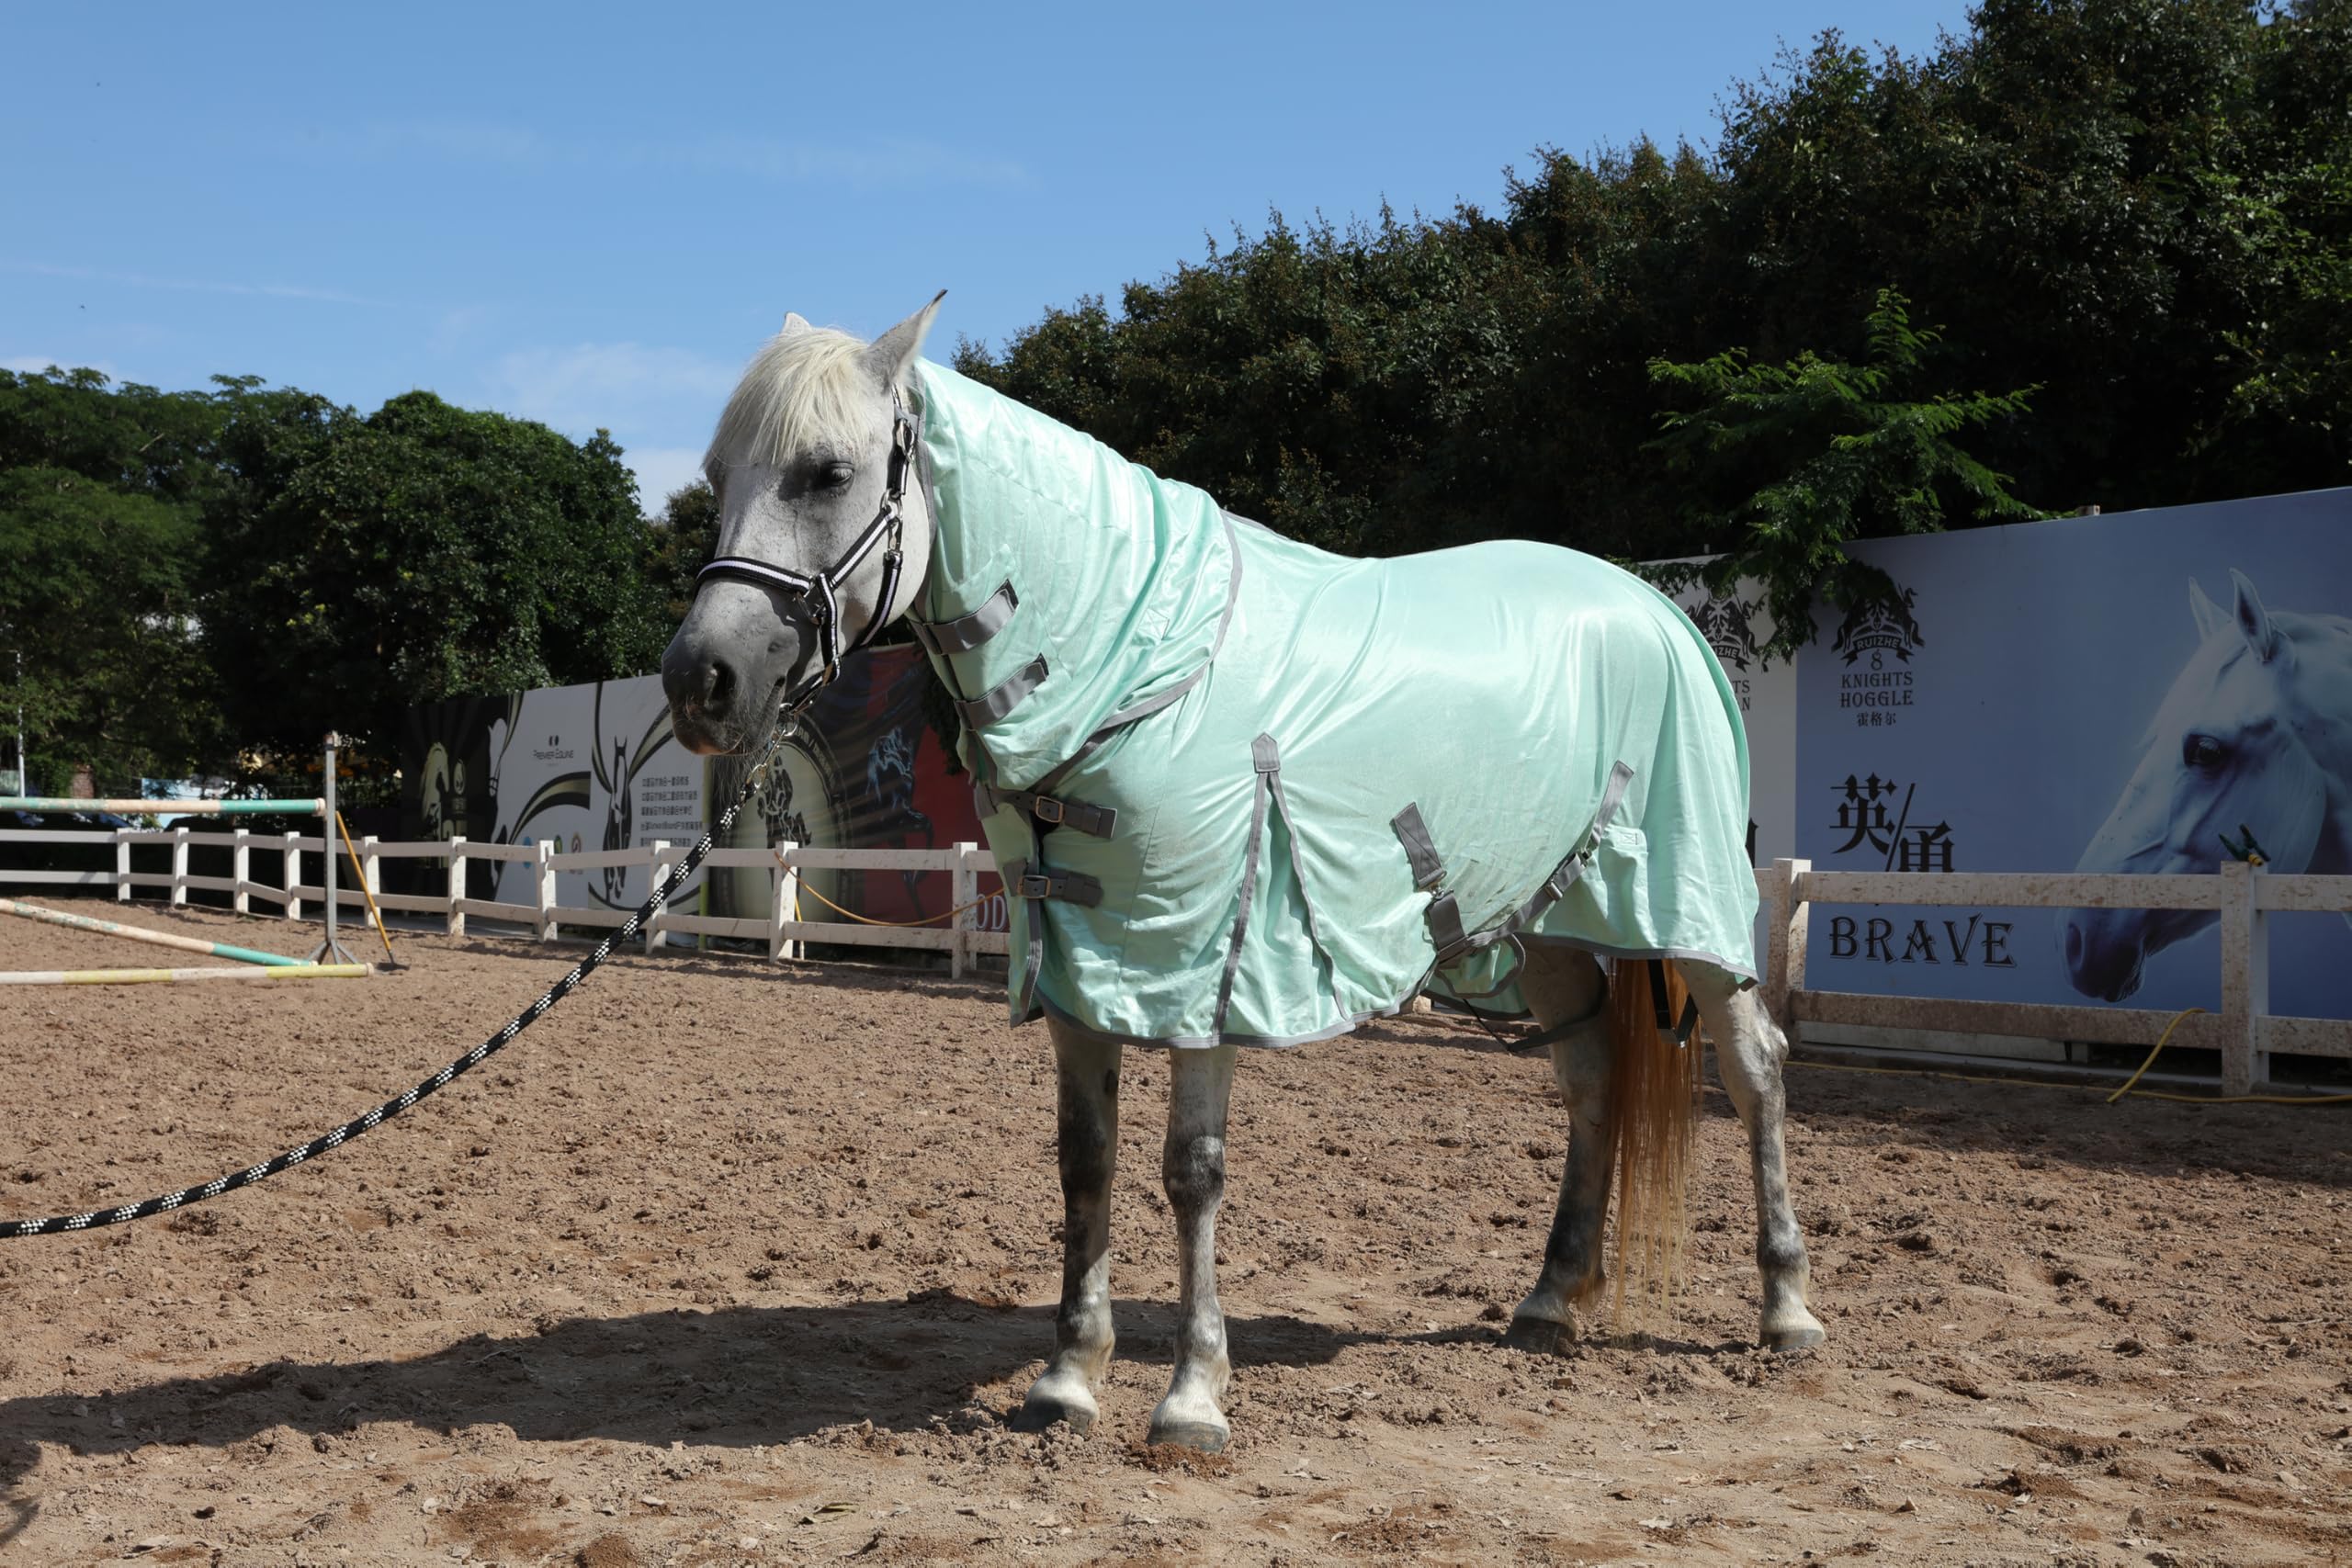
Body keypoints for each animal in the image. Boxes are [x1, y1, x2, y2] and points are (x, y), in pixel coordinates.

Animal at [660, 297, 1822, 1453]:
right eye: (717, 475)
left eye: (828, 472)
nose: (698, 679)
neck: (1134, 664)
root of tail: (1653, 608)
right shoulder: (1079, 961)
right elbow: (1085, 1161)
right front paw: (1068, 1377)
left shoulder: (1207, 963)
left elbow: (1192, 1170)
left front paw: (1191, 1396)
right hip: (1541, 923)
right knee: (1589, 1079)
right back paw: (1546, 1302)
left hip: (1690, 908)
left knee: (1753, 1068)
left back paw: (1786, 1310)